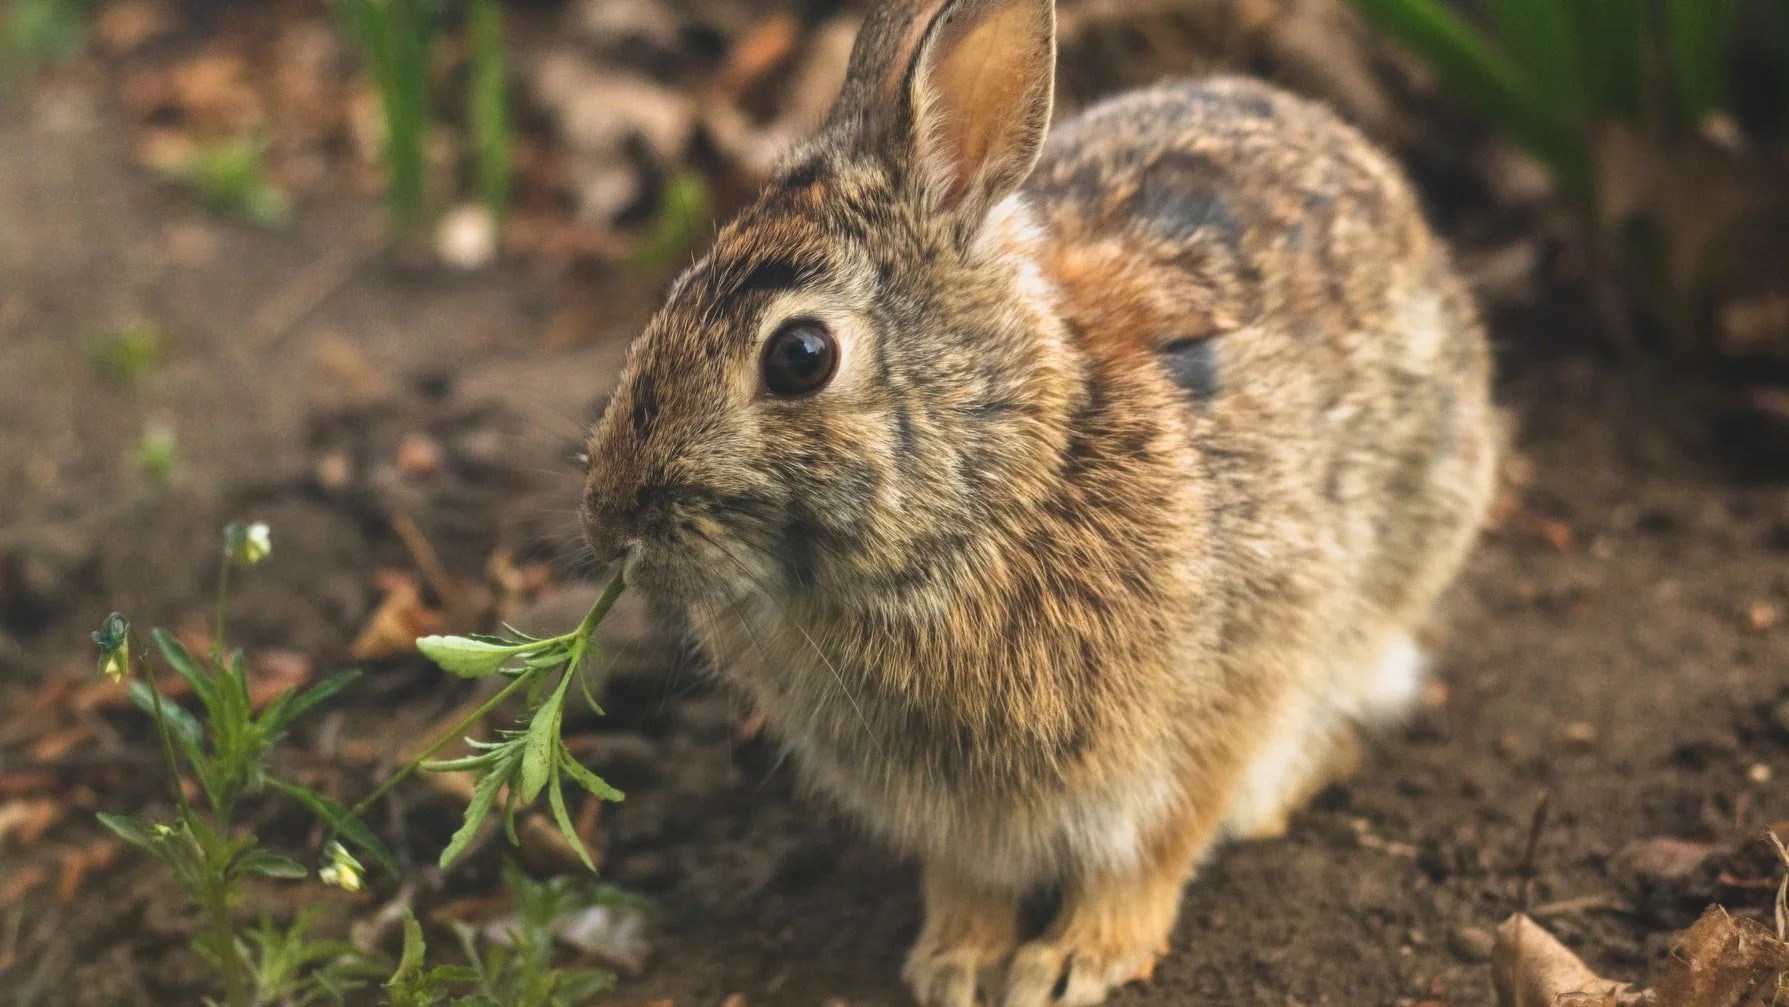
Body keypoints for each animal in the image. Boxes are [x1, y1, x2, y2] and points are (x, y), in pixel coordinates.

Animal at [579, 0, 1500, 1003]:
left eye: (800, 356)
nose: (608, 521)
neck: (1007, 493)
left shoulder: (1214, 710)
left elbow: (1150, 852)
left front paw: (1071, 962)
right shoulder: (955, 818)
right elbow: (969, 878)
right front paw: (954, 961)